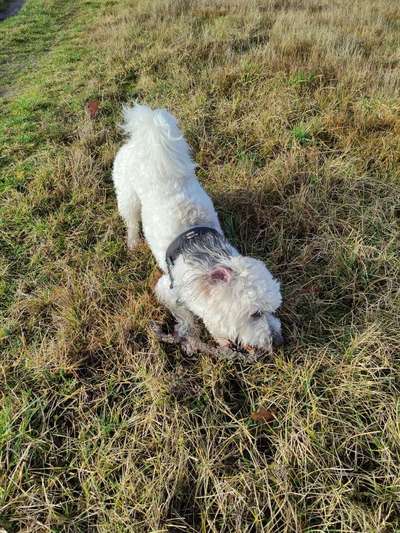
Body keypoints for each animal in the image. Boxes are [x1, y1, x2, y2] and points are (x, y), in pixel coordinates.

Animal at [111, 104, 282, 354]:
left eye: (273, 310)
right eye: (255, 314)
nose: (278, 340)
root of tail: (143, 136)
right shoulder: (167, 288)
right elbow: (187, 316)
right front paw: (192, 335)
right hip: (127, 194)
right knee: (131, 219)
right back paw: (132, 242)